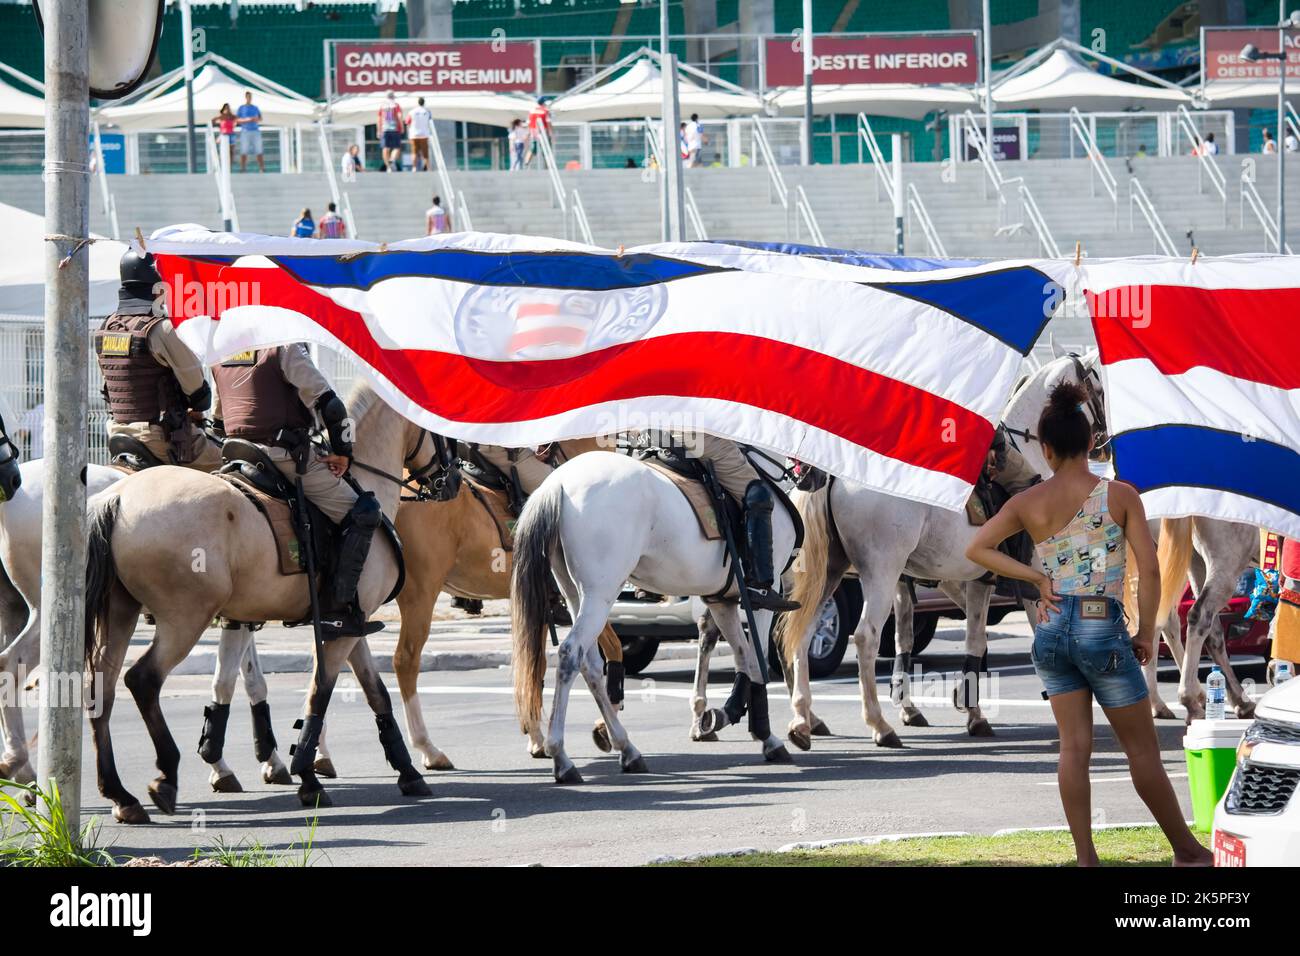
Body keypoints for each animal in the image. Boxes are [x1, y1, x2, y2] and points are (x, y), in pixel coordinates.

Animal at [83, 382, 434, 822]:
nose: (455, 476)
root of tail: (118, 497)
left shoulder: (350, 623)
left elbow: (373, 690)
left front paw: (407, 770)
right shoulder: (338, 631)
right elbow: (319, 692)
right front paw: (307, 777)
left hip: (121, 611)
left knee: (103, 686)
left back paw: (119, 793)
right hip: (185, 618)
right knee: (143, 680)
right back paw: (164, 775)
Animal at [506, 447, 790, 785]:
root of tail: (558, 482)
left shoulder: (722, 600)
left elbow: (743, 655)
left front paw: (725, 715)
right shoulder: (761, 598)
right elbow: (757, 660)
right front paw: (766, 736)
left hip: (575, 592)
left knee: (590, 664)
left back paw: (626, 748)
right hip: (601, 593)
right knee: (570, 654)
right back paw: (561, 757)